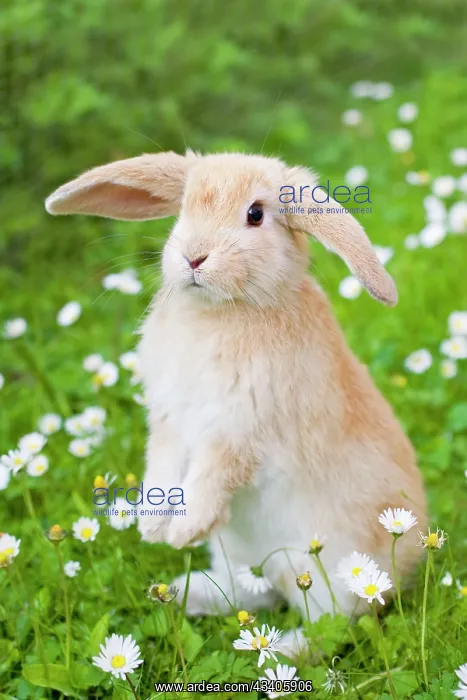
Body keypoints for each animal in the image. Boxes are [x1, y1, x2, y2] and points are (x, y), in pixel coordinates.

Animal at [46, 150, 427, 632]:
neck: (220, 311)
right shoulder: (170, 422)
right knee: (252, 594)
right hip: (239, 556)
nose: (193, 258)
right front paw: (152, 526)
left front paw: (182, 531)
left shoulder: (239, 432)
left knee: (326, 628)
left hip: (331, 573)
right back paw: (185, 594)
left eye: (256, 214)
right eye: (184, 207)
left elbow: (213, 475)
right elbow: (163, 466)